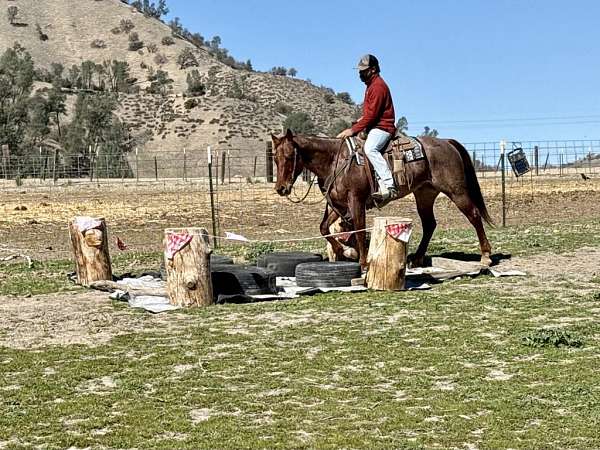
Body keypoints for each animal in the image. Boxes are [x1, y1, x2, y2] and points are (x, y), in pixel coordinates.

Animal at [272, 130, 492, 270]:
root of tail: (447, 142)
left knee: (474, 215)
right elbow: (324, 228)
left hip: (457, 191)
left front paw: (362, 263)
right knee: (430, 224)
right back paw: (417, 259)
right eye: (275, 157)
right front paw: (343, 250)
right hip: (424, 194)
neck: (335, 159)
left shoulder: (356, 200)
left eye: (290, 156)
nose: (281, 188)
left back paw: (486, 257)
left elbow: (359, 230)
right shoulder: (337, 205)